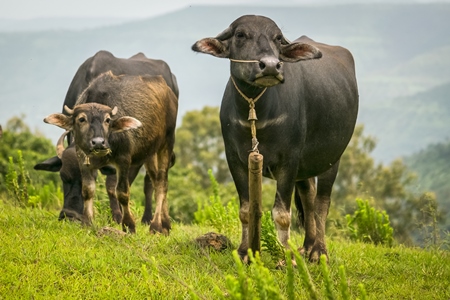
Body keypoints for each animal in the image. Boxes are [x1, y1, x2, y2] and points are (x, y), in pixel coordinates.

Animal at [34, 51, 178, 224]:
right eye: (63, 176)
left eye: (93, 177)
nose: (69, 216)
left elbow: (113, 186)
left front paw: (118, 217)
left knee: (152, 180)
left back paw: (150, 218)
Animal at [193, 15, 358, 262]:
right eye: (240, 35)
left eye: (278, 38)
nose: (271, 65)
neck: (258, 111)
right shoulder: (235, 159)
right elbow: (246, 210)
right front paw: (244, 251)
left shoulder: (289, 160)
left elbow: (281, 213)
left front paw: (284, 255)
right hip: (305, 166)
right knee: (308, 196)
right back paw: (307, 246)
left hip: (332, 157)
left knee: (321, 202)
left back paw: (319, 251)